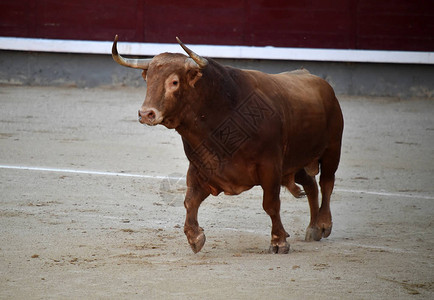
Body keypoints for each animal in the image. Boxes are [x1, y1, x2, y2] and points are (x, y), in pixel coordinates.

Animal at [113, 35, 344, 253]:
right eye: (148, 80)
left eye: (174, 82)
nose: (146, 114)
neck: (222, 112)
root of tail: (318, 81)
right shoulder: (201, 168)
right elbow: (190, 200)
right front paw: (195, 237)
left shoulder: (270, 166)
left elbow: (271, 204)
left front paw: (279, 242)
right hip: (293, 163)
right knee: (311, 184)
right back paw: (313, 228)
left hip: (332, 149)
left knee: (327, 182)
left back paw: (323, 224)